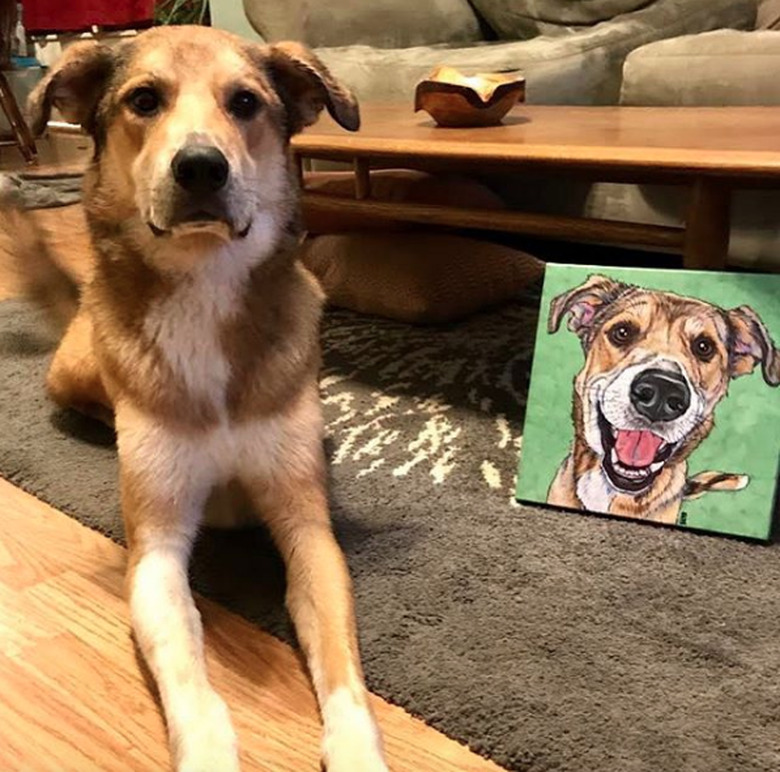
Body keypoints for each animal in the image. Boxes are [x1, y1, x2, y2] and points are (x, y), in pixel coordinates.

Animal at [6, 24, 390, 772]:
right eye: (143, 100)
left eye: (245, 103)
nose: (201, 168)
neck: (206, 284)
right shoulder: (156, 549)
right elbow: (186, 669)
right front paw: (209, 751)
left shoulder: (308, 530)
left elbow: (340, 665)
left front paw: (357, 750)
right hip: (73, 372)